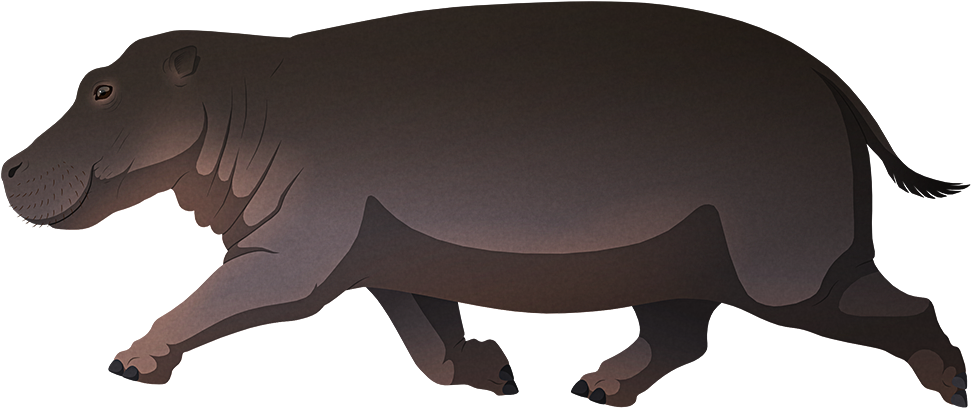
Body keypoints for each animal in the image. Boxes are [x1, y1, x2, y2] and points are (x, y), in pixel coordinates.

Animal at [2, 3, 967, 407]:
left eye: (99, 90)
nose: (7, 166)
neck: (239, 98)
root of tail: (829, 81)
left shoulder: (293, 248)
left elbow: (213, 297)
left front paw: (130, 361)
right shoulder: (380, 251)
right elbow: (424, 331)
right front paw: (491, 372)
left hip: (786, 262)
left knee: (894, 302)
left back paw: (951, 384)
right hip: (680, 257)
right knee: (679, 334)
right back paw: (596, 386)